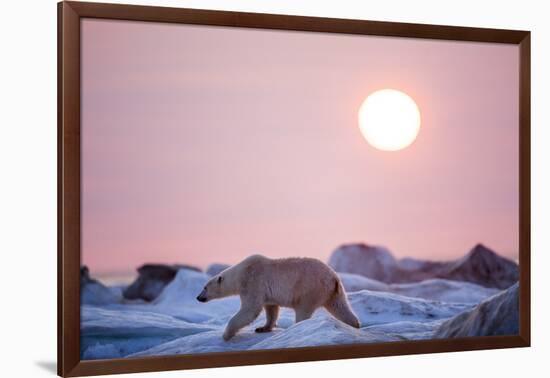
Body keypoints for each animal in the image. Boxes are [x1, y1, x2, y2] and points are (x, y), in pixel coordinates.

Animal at [196, 254, 360, 340]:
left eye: (205, 287)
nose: (198, 297)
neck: (240, 273)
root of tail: (333, 277)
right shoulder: (266, 293)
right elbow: (271, 309)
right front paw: (262, 328)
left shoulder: (253, 282)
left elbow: (250, 310)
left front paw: (226, 334)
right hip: (334, 292)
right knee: (340, 307)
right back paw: (355, 325)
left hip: (310, 289)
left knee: (303, 310)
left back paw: (297, 327)